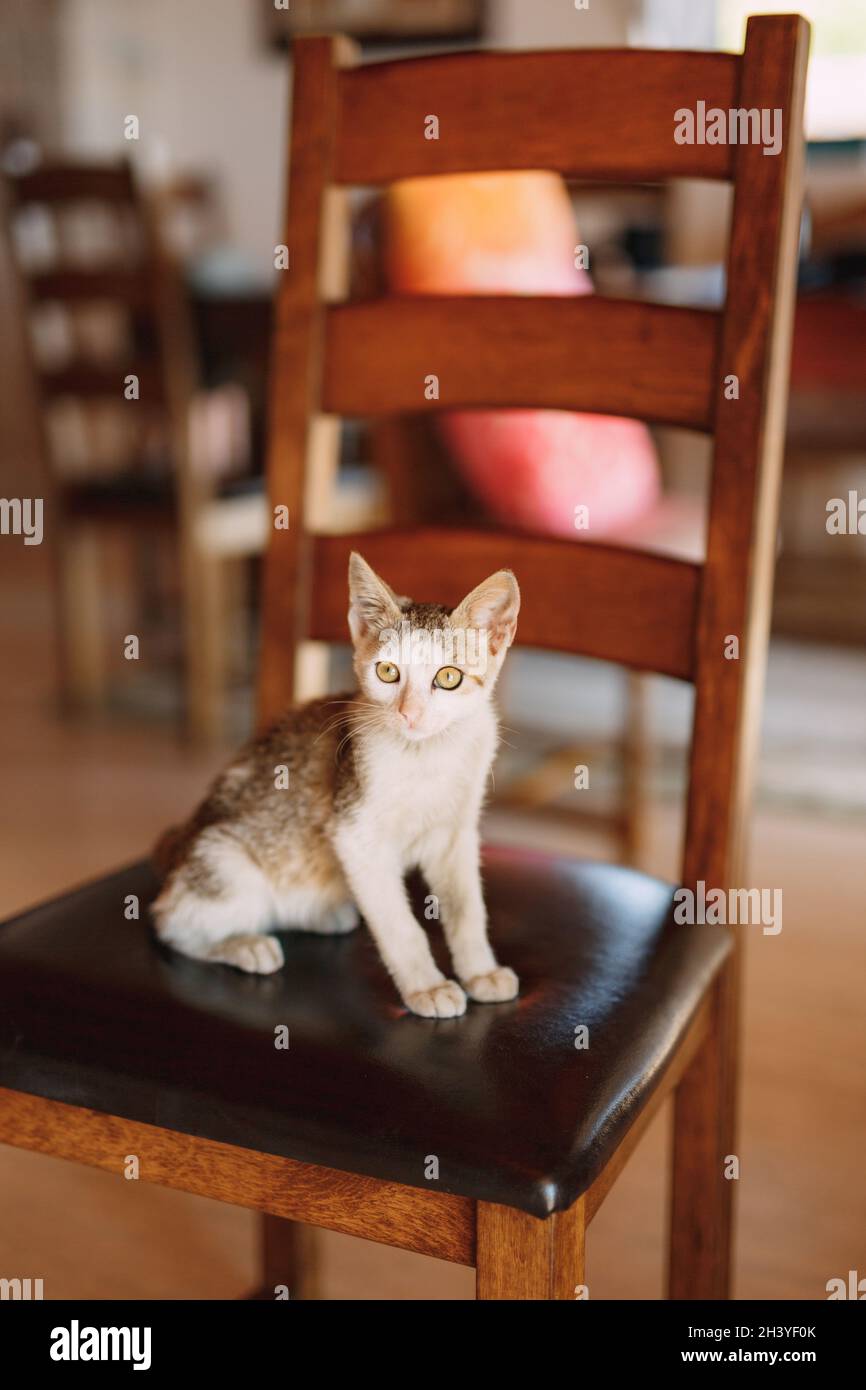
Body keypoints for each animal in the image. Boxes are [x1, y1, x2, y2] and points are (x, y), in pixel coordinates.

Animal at [150, 553, 522, 1023]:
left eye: (450, 677)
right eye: (387, 671)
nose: (410, 714)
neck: (426, 756)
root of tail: (178, 848)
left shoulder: (456, 835)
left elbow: (467, 908)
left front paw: (480, 971)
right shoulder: (354, 833)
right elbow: (399, 925)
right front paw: (427, 986)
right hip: (227, 864)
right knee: (168, 921)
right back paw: (244, 944)